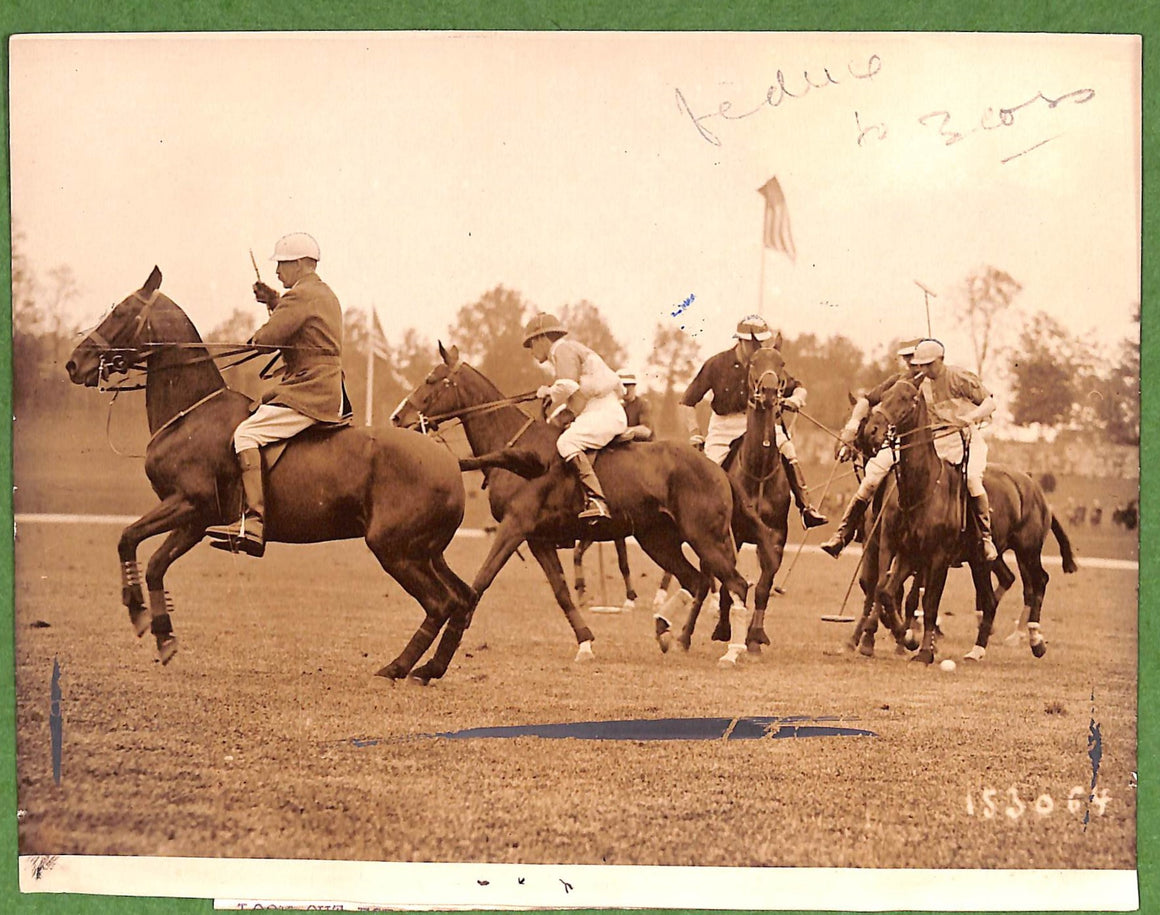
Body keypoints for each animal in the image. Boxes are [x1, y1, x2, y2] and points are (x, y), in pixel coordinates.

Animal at [64, 267, 475, 672]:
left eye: (121, 312)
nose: (73, 364)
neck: (192, 413)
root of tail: (449, 463)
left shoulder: (188, 503)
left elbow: (127, 537)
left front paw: (136, 610)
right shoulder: (196, 520)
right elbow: (153, 564)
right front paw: (163, 634)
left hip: (395, 550)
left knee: (440, 603)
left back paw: (398, 668)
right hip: (426, 552)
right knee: (463, 598)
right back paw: (428, 669)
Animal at [389, 343, 751, 677]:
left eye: (431, 379)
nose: (397, 418)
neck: (514, 446)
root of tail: (717, 468)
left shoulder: (514, 527)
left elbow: (480, 582)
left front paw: (443, 648)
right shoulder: (538, 539)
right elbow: (562, 593)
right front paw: (586, 643)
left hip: (705, 536)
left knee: (736, 584)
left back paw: (732, 652)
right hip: (657, 539)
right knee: (695, 579)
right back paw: (665, 630)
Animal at [863, 375, 1076, 663]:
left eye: (907, 399)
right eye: (884, 395)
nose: (872, 431)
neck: (923, 488)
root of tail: (1036, 489)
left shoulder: (938, 557)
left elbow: (929, 603)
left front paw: (925, 652)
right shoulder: (908, 553)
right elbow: (886, 591)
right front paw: (905, 637)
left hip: (1027, 549)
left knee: (1038, 582)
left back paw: (1035, 640)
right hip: (981, 560)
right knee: (992, 597)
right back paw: (978, 648)